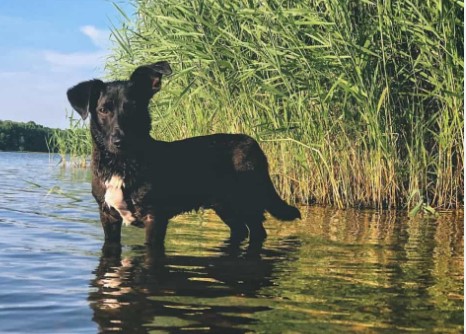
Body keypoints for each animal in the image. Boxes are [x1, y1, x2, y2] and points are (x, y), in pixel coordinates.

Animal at [65, 61, 300, 247]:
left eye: (133, 107)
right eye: (103, 110)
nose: (119, 141)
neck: (121, 165)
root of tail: (252, 142)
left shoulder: (155, 218)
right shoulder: (108, 217)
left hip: (248, 201)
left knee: (258, 232)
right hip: (225, 206)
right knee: (241, 230)